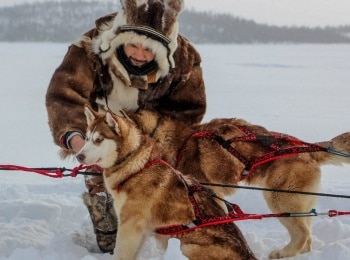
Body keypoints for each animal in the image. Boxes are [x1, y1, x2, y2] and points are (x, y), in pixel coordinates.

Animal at [77, 105, 258, 260]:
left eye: (99, 140)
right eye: (87, 138)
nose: (78, 156)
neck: (135, 166)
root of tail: (250, 255)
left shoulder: (130, 226)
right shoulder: (140, 230)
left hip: (187, 246)